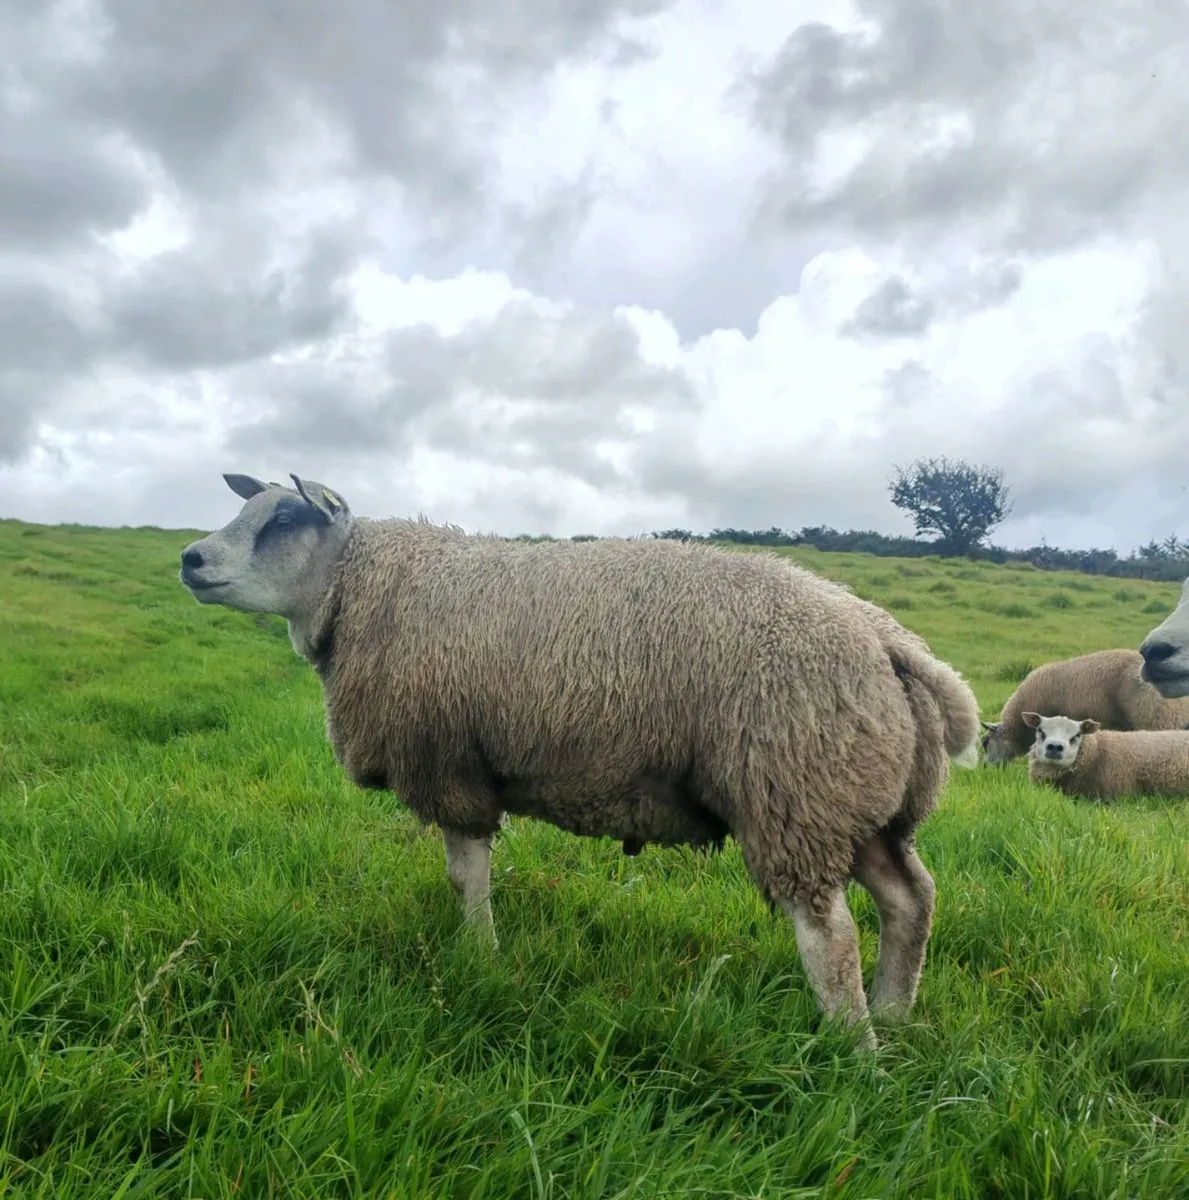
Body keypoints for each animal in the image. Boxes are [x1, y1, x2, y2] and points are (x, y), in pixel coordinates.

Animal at [178, 471, 982, 1050]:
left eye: (285, 521)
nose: (190, 559)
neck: (358, 589)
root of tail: (887, 639)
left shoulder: (452, 768)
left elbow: (466, 876)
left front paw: (480, 959)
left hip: (794, 790)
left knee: (831, 936)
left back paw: (853, 1052)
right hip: (864, 802)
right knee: (911, 902)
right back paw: (894, 1016)